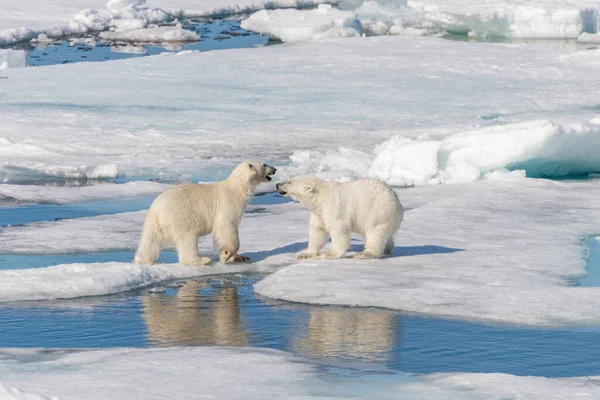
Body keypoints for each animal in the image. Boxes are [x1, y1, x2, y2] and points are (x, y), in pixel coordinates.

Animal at [134, 159, 276, 266]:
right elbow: (226, 227)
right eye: (264, 164)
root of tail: (157, 210)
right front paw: (225, 255)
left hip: (153, 223)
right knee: (187, 239)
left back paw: (145, 260)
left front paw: (240, 257)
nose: (275, 169)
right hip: (181, 216)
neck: (238, 188)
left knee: (150, 240)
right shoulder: (228, 204)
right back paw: (201, 260)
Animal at [276, 176, 404, 260]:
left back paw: (365, 253)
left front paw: (329, 254)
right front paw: (304, 254)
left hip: (378, 211)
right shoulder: (318, 212)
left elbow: (339, 230)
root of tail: (397, 201)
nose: (277, 184)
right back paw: (388, 248)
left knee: (375, 232)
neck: (322, 196)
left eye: (289, 182)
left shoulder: (333, 207)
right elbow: (318, 230)